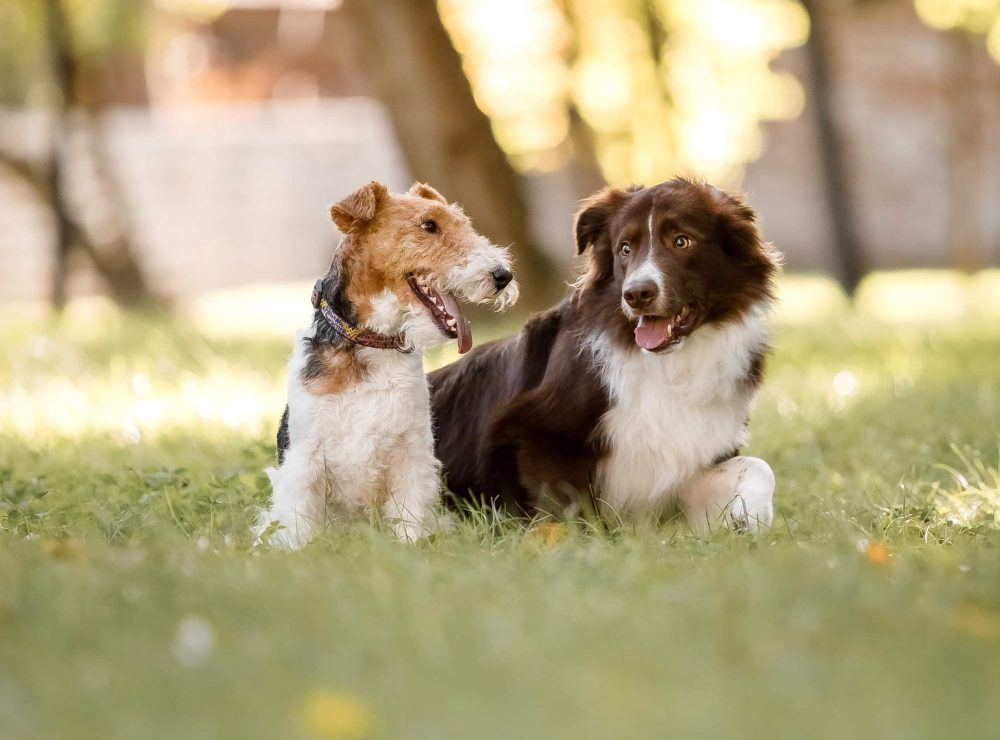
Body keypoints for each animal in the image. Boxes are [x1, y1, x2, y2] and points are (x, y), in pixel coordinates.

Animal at [258, 179, 520, 548]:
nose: (502, 275)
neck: (372, 343)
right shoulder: (304, 454)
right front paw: (298, 551)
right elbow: (299, 523)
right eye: (429, 225)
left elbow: (409, 516)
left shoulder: (411, 451)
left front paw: (411, 546)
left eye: (464, 224)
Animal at [430, 178, 780, 532]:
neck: (668, 363)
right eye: (625, 249)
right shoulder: (534, 432)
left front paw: (752, 515)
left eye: (682, 241)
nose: (636, 294)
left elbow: (758, 466)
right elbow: (567, 514)